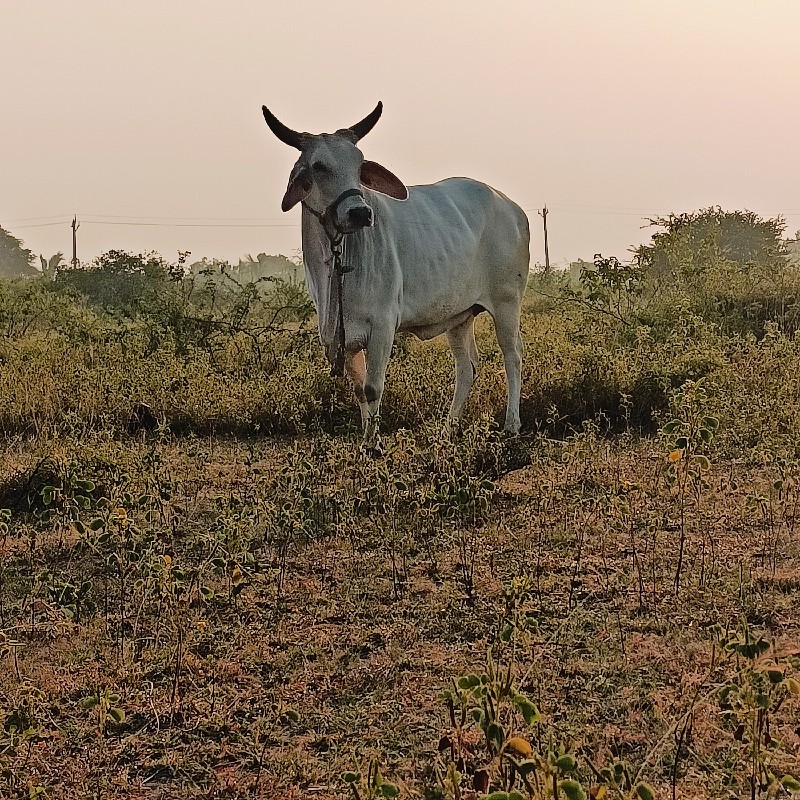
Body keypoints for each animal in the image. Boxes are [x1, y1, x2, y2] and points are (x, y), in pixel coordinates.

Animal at [262, 101, 532, 454]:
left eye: (359, 165)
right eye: (318, 166)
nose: (359, 213)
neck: (336, 264)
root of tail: (513, 208)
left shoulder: (383, 326)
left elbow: (373, 387)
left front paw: (375, 445)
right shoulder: (343, 337)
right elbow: (360, 390)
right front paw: (365, 442)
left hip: (506, 303)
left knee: (512, 357)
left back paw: (511, 425)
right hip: (459, 316)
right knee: (467, 367)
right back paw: (448, 429)